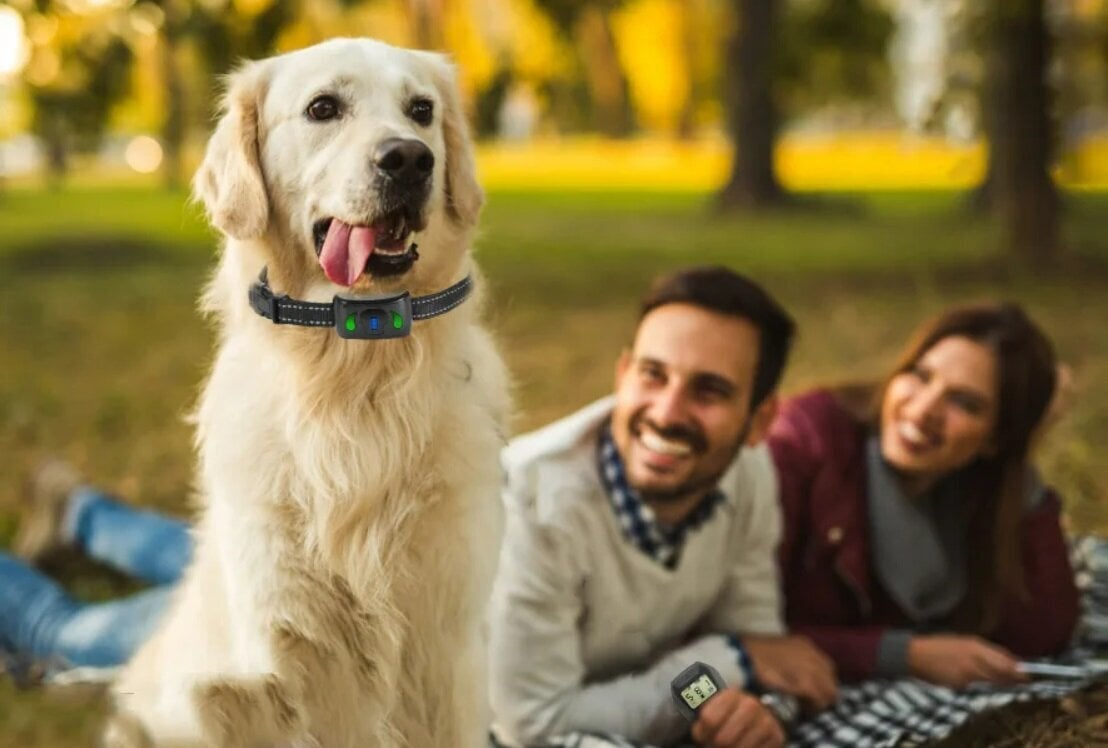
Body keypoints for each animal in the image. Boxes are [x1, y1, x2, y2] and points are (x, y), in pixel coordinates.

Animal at [104, 36, 509, 748]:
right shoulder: (288, 653)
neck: (357, 372)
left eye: (421, 109)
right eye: (323, 108)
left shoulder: (452, 635)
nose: (410, 158)